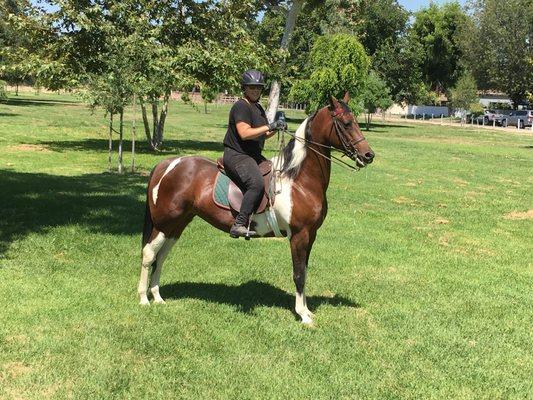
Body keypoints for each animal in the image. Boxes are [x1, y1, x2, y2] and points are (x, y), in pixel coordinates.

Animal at [137, 94, 374, 324]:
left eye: (355, 121)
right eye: (346, 123)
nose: (368, 155)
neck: (297, 179)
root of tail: (166, 164)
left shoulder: (311, 235)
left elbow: (305, 271)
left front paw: (307, 310)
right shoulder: (299, 235)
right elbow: (298, 274)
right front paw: (303, 315)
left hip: (176, 225)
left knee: (161, 256)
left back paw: (157, 297)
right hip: (163, 224)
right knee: (149, 255)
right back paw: (143, 299)